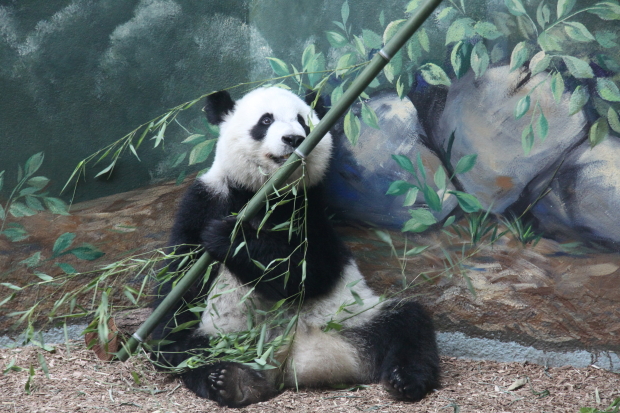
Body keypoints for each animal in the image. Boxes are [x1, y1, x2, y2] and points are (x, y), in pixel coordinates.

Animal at [150, 86, 440, 406]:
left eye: (303, 121)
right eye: (265, 120)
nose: (293, 139)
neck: (264, 192)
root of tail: (294, 359)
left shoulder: (308, 210)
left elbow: (311, 271)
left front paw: (231, 237)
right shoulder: (207, 200)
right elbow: (181, 274)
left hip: (353, 317)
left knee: (408, 324)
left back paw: (404, 380)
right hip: (225, 334)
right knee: (187, 351)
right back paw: (234, 381)